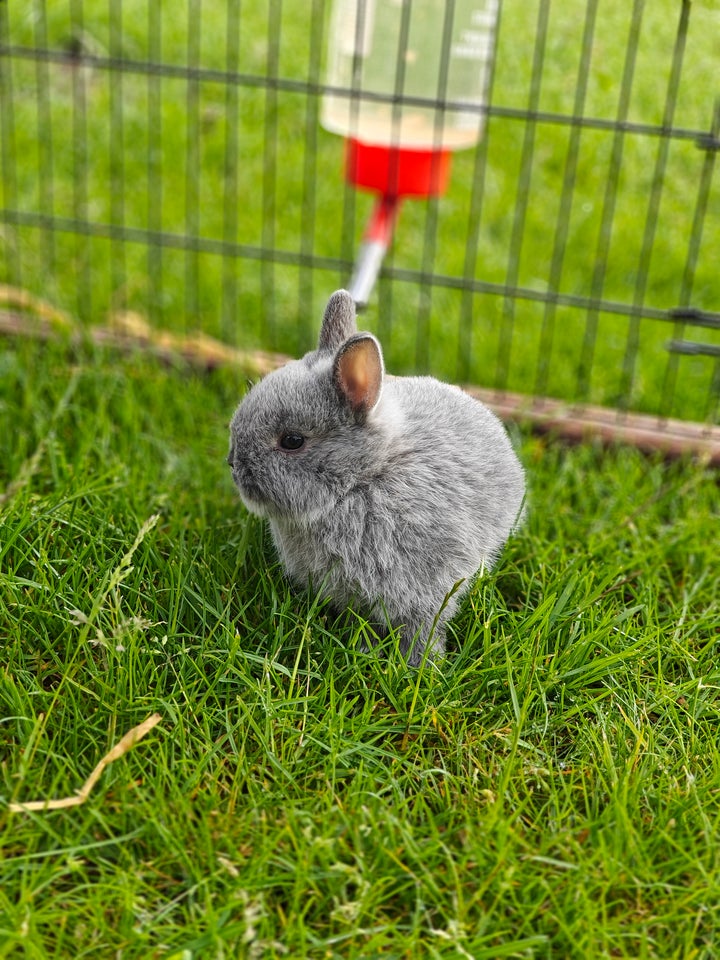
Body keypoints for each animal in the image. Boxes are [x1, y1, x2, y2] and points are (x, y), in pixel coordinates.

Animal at [229, 290, 524, 668]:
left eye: (292, 441)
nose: (233, 464)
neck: (364, 479)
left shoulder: (425, 589)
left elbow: (422, 625)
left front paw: (420, 665)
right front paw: (366, 649)